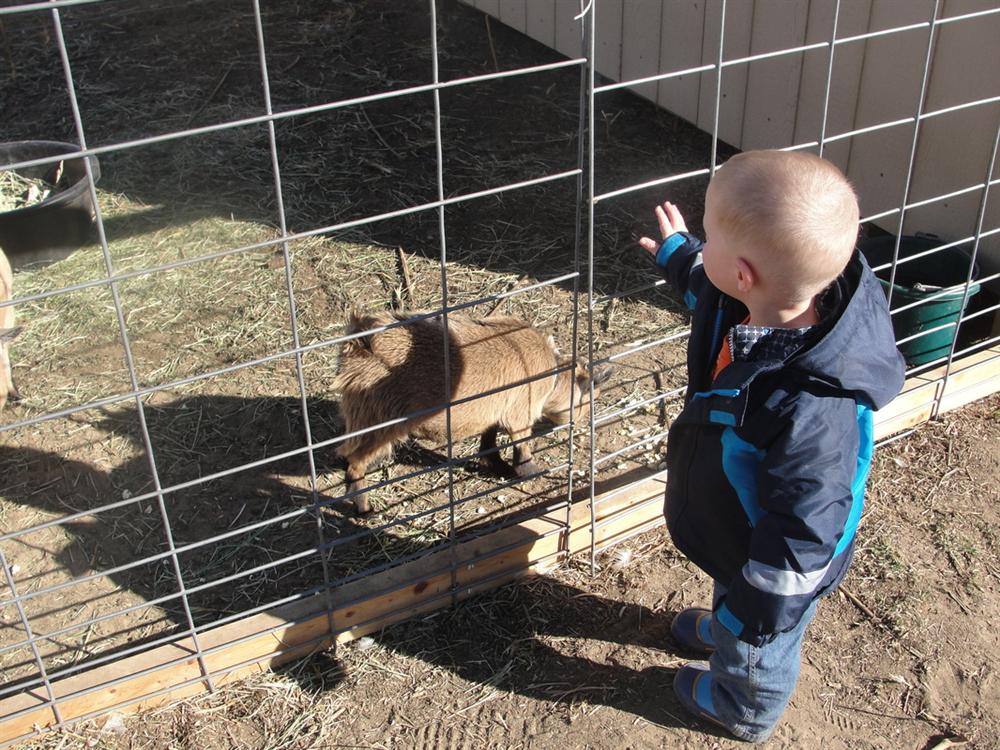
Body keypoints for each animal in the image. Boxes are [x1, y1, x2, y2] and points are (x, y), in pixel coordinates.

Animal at [334, 308, 608, 516]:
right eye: (591, 397)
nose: (581, 422)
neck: (553, 375)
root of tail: (358, 343)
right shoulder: (521, 413)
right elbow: (522, 447)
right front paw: (529, 471)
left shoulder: (494, 411)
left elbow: (488, 442)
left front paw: (498, 465)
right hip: (382, 421)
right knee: (355, 461)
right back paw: (364, 508)